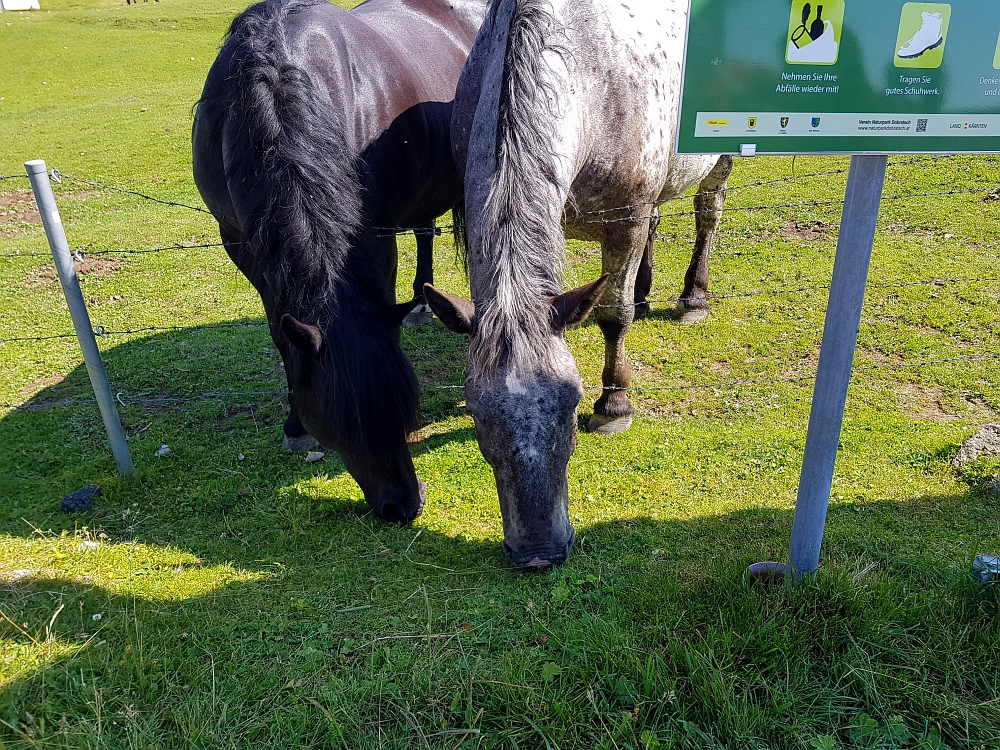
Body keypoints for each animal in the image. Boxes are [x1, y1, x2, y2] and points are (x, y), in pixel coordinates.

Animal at [424, 0, 736, 568]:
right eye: (478, 417)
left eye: (571, 408)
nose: (538, 553)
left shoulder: (625, 219)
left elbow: (613, 315)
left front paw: (615, 405)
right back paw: (646, 289)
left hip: (717, 162)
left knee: (708, 210)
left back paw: (693, 296)